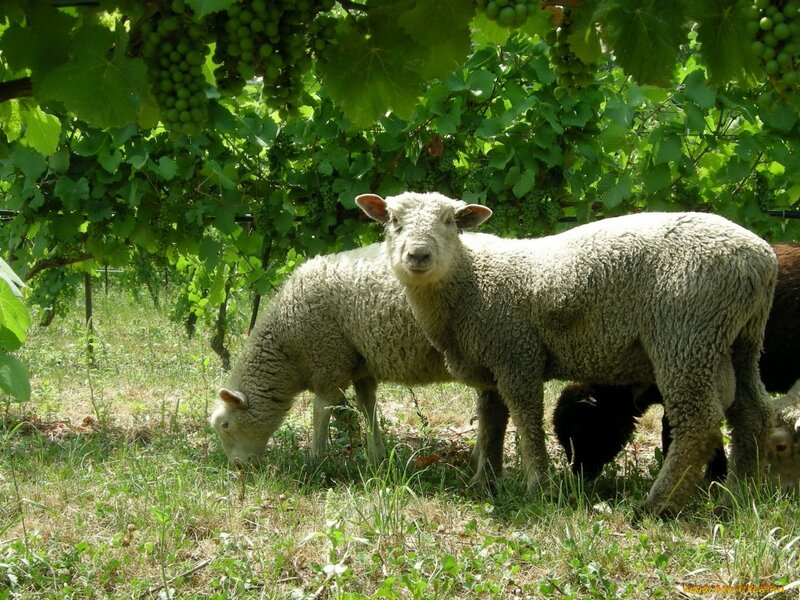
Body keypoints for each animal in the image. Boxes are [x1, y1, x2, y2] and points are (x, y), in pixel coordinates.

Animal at [211, 239, 509, 484]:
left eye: (225, 426)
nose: (238, 468)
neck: (286, 350)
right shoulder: (361, 366)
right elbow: (369, 408)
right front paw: (377, 458)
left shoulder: (328, 359)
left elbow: (321, 410)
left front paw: (316, 460)